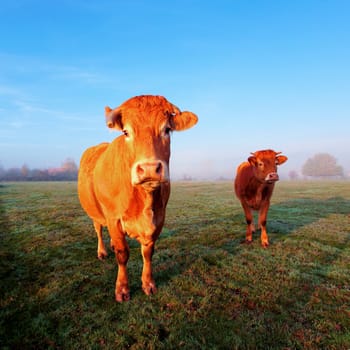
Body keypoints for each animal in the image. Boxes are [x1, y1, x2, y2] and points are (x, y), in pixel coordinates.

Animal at [77, 95, 197, 300]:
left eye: (167, 129)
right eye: (126, 132)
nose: (149, 169)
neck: (144, 201)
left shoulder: (159, 218)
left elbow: (148, 253)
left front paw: (148, 284)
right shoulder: (113, 218)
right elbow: (122, 254)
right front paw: (122, 288)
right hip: (96, 212)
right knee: (98, 229)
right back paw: (102, 251)